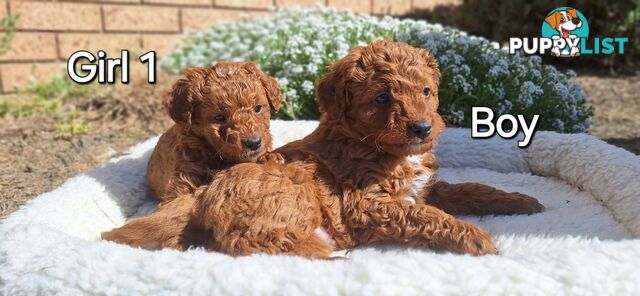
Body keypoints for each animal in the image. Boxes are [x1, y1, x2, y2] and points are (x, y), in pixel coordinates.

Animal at [102, 61, 282, 250]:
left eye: (258, 108)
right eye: (219, 117)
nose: (253, 143)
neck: (214, 154)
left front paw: (269, 157)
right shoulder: (180, 187)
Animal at [188, 40, 544, 258]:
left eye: (426, 91)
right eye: (382, 98)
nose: (422, 128)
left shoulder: (425, 189)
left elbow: (470, 189)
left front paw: (519, 201)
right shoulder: (368, 204)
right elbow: (424, 215)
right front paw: (474, 235)